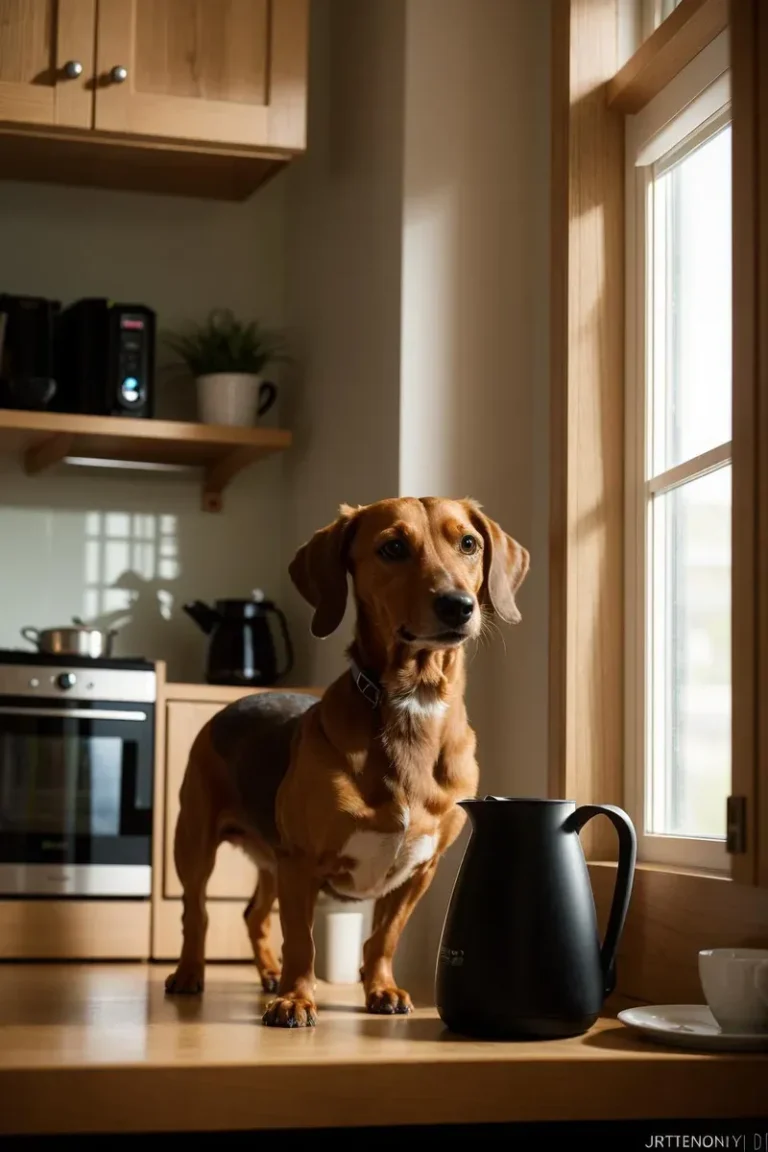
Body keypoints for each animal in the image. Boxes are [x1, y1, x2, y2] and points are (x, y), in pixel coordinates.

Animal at [166, 495, 529, 1027]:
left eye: (468, 543)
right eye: (392, 548)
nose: (458, 605)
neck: (413, 702)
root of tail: (235, 703)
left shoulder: (420, 870)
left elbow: (384, 938)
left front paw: (381, 989)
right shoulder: (300, 862)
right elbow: (302, 942)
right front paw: (297, 998)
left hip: (269, 859)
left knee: (254, 915)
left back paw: (267, 972)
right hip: (195, 843)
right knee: (197, 912)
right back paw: (190, 973)